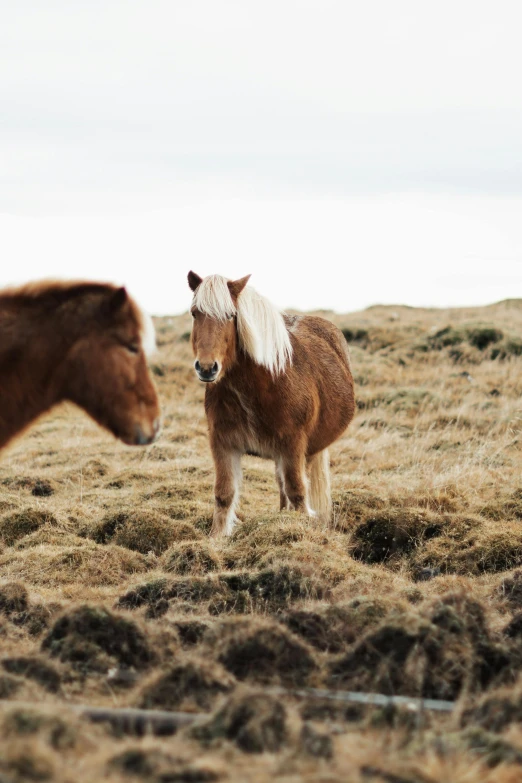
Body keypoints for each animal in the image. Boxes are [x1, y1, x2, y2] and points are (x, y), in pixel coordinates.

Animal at [187, 272, 354, 536]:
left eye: (231, 315)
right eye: (195, 313)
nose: (206, 368)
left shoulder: (294, 444)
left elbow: (297, 492)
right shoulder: (222, 442)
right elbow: (224, 494)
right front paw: (216, 538)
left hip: (306, 451)